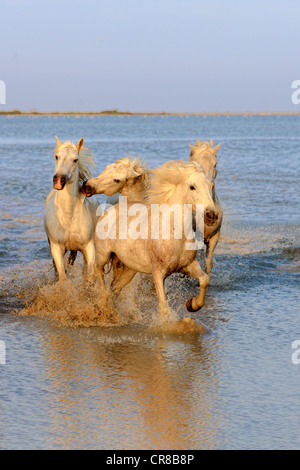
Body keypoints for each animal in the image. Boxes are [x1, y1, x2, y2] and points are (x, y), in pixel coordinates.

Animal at [44, 138, 99, 280]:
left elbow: (90, 275)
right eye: (56, 157)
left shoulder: (89, 247)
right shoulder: (56, 248)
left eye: (75, 160)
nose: (59, 180)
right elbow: (63, 276)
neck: (68, 215)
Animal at [95, 160, 219, 318]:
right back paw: (102, 300)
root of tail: (108, 211)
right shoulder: (158, 273)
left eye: (211, 186)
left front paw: (192, 304)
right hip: (103, 255)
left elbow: (204, 280)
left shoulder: (188, 265)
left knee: (115, 288)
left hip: (130, 269)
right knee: (98, 272)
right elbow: (164, 308)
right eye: (192, 187)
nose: (212, 215)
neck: (174, 234)